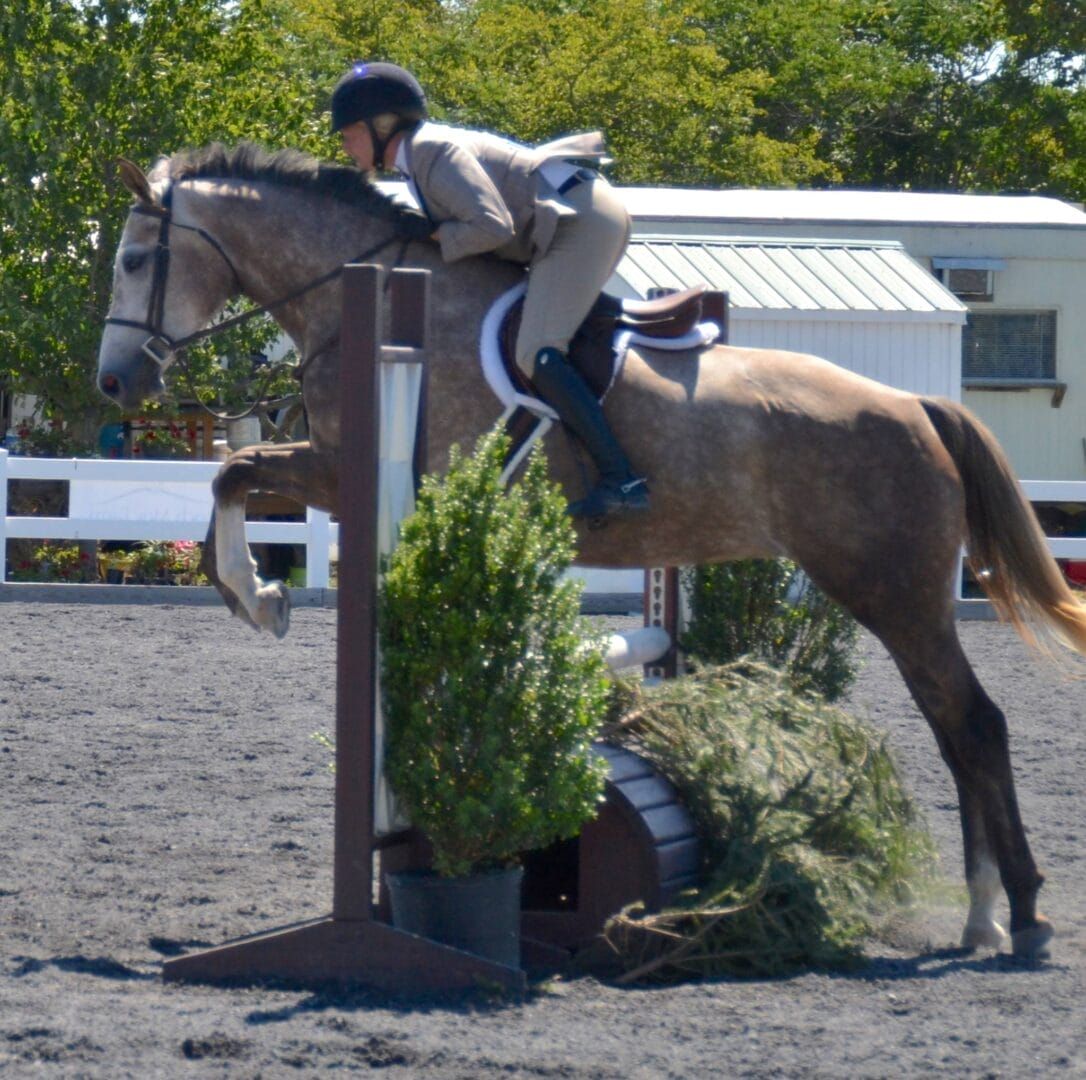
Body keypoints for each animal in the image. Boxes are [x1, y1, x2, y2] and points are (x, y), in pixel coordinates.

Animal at [96, 141, 1086, 960]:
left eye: (135, 261)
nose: (115, 382)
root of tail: (920, 406)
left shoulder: (352, 472)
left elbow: (234, 473)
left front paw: (256, 596)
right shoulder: (342, 472)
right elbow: (234, 478)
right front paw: (257, 593)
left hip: (893, 591)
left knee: (974, 725)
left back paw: (1021, 912)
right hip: (894, 592)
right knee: (956, 730)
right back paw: (982, 914)